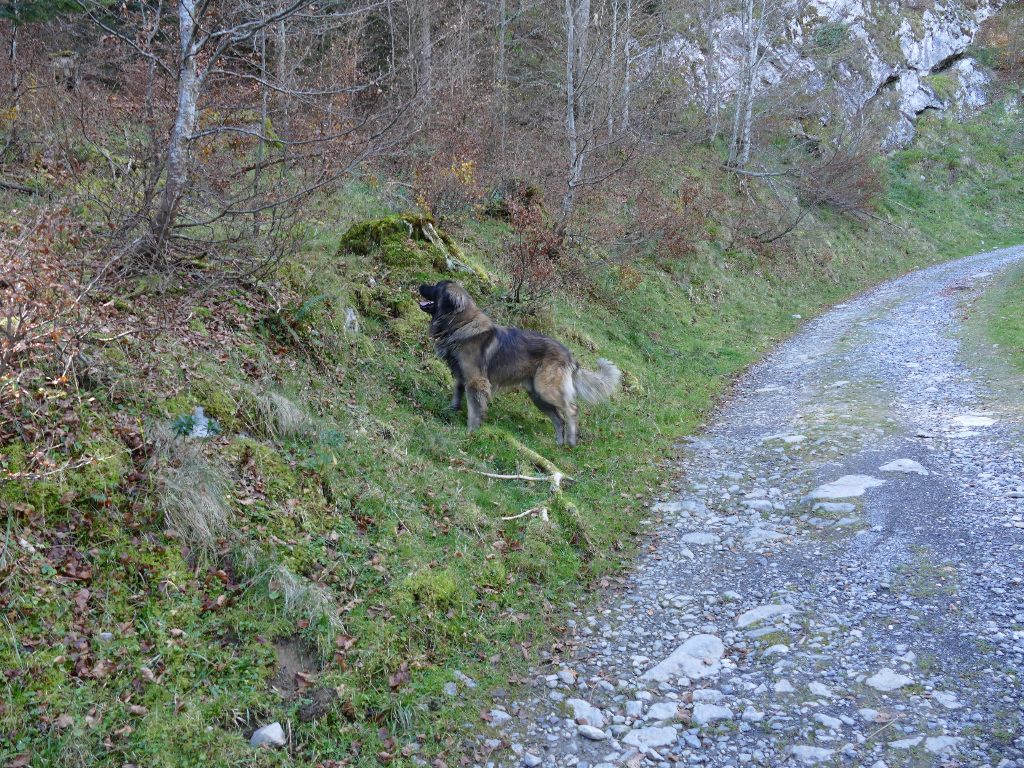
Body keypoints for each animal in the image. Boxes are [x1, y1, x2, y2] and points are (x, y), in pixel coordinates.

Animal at [417, 280, 622, 448]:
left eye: (436, 287)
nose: (420, 285)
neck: (460, 323)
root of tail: (570, 356)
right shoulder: (462, 376)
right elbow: (457, 395)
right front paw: (451, 411)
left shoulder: (476, 381)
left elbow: (475, 408)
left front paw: (471, 431)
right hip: (538, 395)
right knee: (559, 419)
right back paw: (558, 444)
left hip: (546, 390)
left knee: (571, 409)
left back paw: (570, 441)